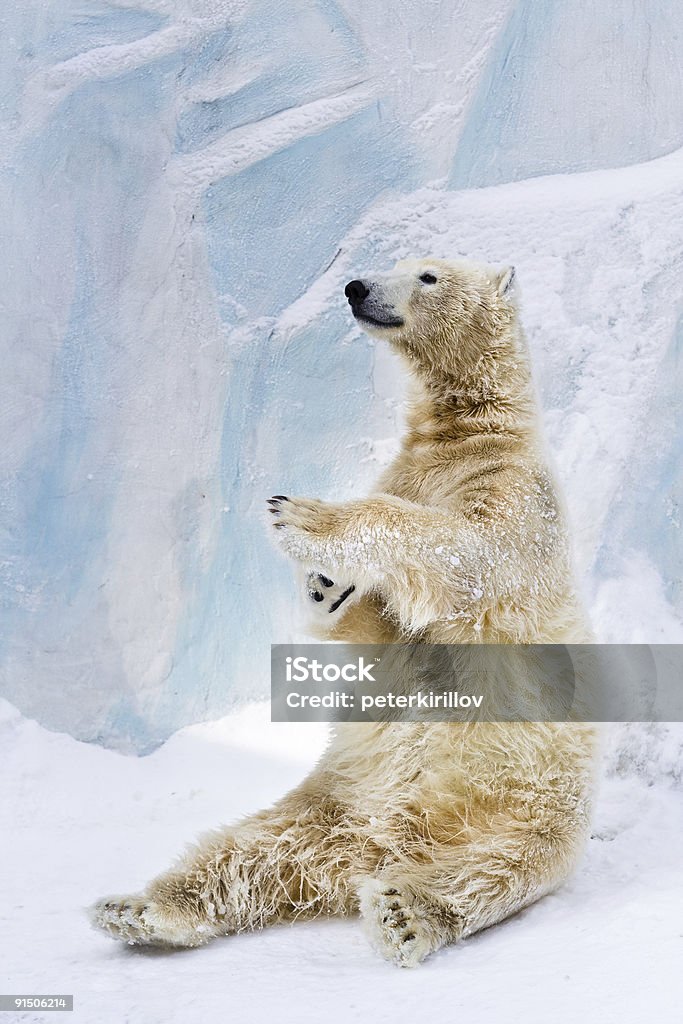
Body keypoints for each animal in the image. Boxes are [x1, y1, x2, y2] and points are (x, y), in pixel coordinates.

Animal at [92, 258, 598, 966]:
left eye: (427, 273)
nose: (357, 288)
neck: (468, 433)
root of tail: (385, 842)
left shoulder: (515, 501)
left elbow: (463, 553)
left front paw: (301, 516)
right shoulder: (420, 473)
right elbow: (379, 630)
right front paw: (327, 586)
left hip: (525, 811)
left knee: (489, 872)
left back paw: (405, 911)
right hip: (332, 801)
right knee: (252, 850)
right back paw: (140, 909)